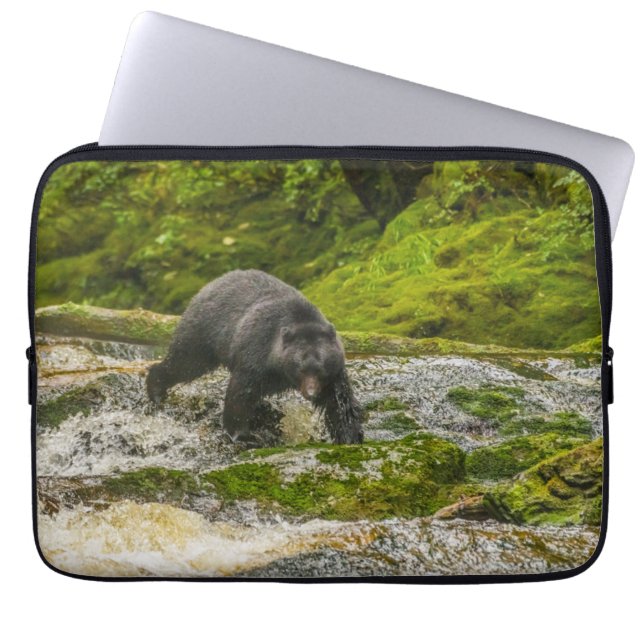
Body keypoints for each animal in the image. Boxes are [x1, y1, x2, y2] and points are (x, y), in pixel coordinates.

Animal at [146, 269, 363, 445]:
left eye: (320, 369)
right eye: (300, 368)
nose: (311, 393)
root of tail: (209, 285)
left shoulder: (334, 375)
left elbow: (340, 404)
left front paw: (350, 437)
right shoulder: (256, 354)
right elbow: (240, 393)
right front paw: (243, 435)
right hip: (203, 332)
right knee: (184, 362)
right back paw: (156, 390)